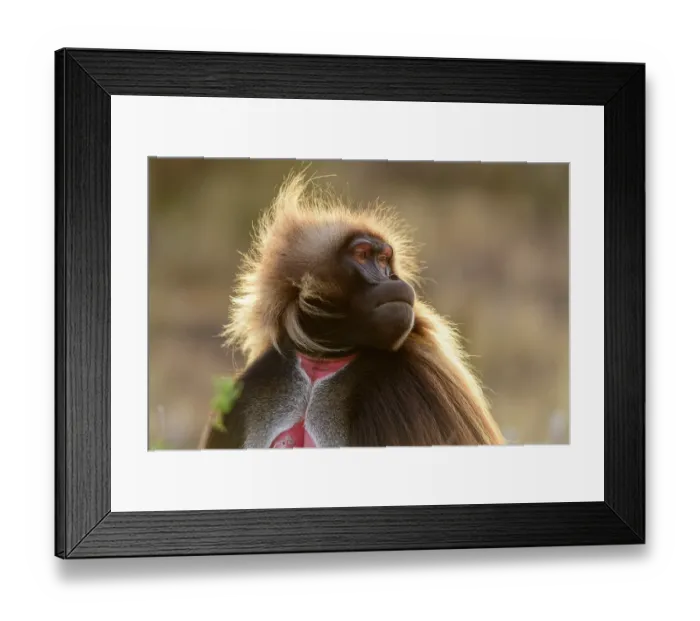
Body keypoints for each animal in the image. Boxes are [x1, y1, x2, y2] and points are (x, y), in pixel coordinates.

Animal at [200, 172, 505, 449]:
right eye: (363, 255)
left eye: (384, 259)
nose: (393, 279)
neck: (323, 360)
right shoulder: (250, 385)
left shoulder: (417, 383)